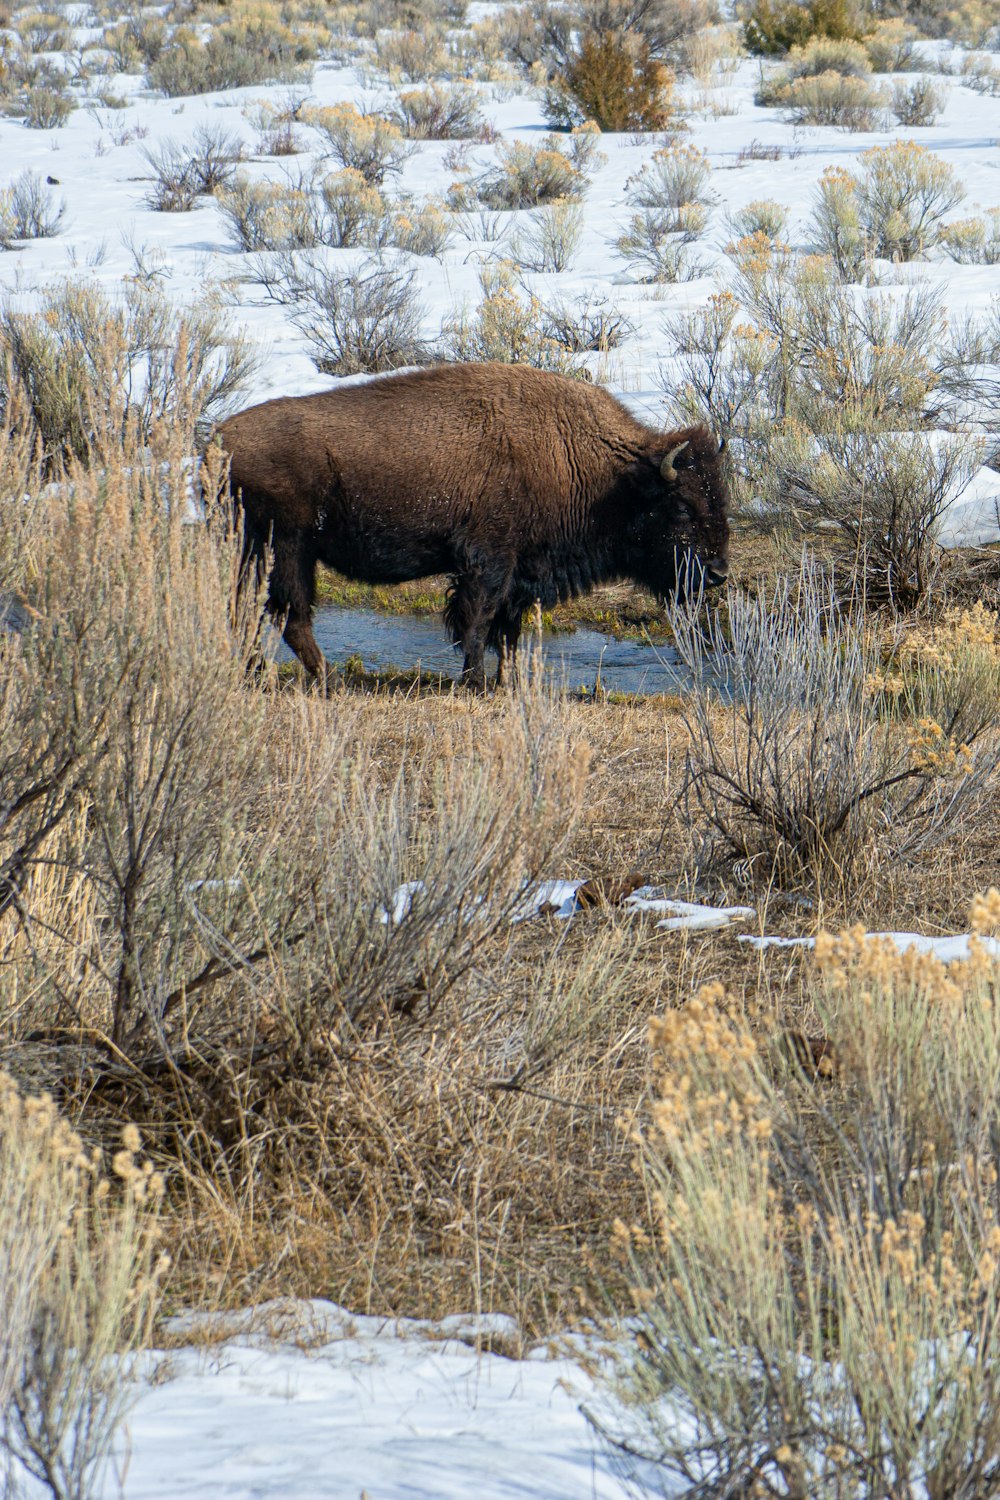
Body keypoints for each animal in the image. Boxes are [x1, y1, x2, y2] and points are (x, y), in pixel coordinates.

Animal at [218, 363, 731, 690]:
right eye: (682, 508)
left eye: (721, 500)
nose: (719, 573)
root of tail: (219, 440)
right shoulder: (489, 562)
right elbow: (479, 622)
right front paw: (477, 682)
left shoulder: (522, 572)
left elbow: (508, 631)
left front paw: (507, 682)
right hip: (286, 547)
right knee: (288, 614)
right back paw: (325, 680)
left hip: (264, 551)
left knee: (254, 611)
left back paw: (266, 675)